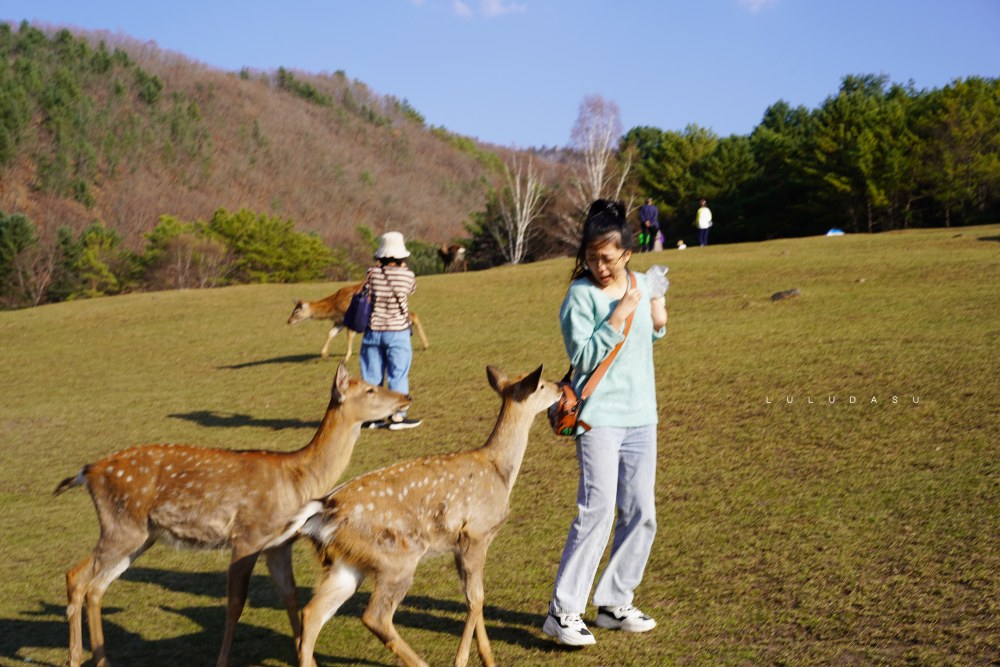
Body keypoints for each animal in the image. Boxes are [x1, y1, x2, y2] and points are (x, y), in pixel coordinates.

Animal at [52, 362, 412, 667]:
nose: (405, 396)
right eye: (369, 389)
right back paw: (74, 658)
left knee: (97, 586)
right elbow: (236, 602)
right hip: (122, 527)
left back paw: (101, 660)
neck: (297, 478)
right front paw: (223, 661)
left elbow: (290, 595)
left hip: (142, 536)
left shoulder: (279, 544)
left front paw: (303, 654)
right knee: (76, 575)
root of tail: (88, 472)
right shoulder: (247, 536)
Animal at [268, 366, 564, 667]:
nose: (561, 387)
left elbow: (473, 598)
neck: (500, 471)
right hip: (396, 558)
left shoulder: (459, 545)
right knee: (374, 616)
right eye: (541, 385)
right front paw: (463, 660)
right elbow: (476, 598)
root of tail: (323, 510)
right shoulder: (476, 533)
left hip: (346, 564)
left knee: (313, 612)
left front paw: (487, 659)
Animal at [288, 284, 432, 362]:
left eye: (296, 311)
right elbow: (330, 333)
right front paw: (324, 355)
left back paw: (426, 345)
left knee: (413, 316)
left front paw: (346, 358)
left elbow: (349, 336)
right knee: (413, 315)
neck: (334, 306)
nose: (288, 321)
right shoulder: (340, 321)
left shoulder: (350, 319)